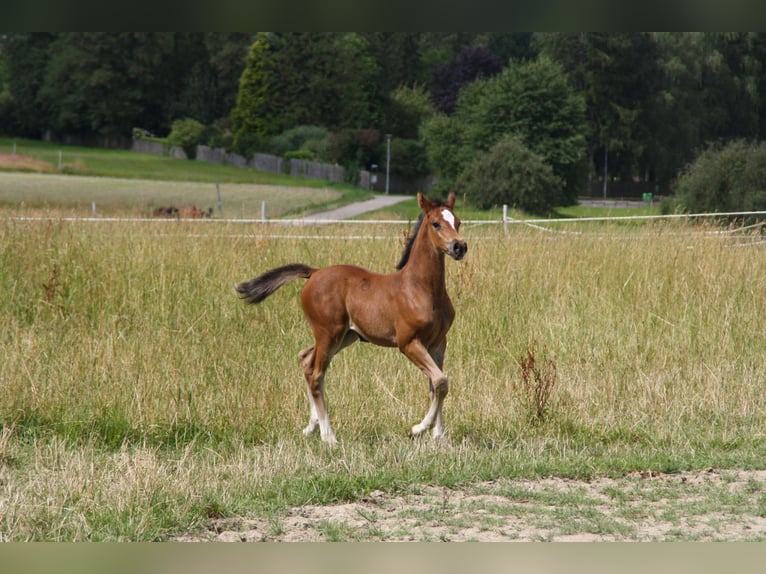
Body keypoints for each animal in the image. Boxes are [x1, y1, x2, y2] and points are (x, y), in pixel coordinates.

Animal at [237, 192, 468, 446]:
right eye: (436, 223)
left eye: (458, 222)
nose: (459, 246)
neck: (422, 289)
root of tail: (314, 273)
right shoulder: (409, 343)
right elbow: (440, 381)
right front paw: (417, 429)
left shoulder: (438, 343)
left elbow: (436, 385)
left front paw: (440, 438)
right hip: (329, 333)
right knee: (316, 374)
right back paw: (328, 437)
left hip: (345, 336)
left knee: (306, 360)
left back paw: (311, 427)